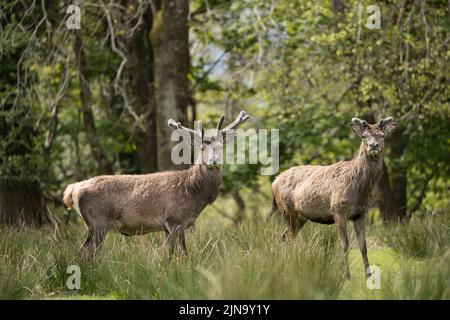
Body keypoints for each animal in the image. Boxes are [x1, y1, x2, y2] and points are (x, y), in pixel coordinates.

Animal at [62, 111, 250, 256]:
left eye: (221, 147)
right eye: (202, 148)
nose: (213, 161)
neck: (193, 192)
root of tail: (72, 189)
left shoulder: (166, 226)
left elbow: (168, 255)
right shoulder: (176, 219)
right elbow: (184, 254)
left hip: (95, 225)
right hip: (97, 221)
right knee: (84, 252)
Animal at [268, 117, 396, 278]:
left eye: (382, 136)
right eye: (363, 136)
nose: (374, 145)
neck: (360, 190)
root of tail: (274, 181)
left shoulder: (361, 214)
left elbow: (363, 245)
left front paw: (368, 274)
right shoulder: (338, 210)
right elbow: (344, 244)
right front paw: (346, 275)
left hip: (300, 217)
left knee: (285, 237)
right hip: (288, 211)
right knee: (288, 238)